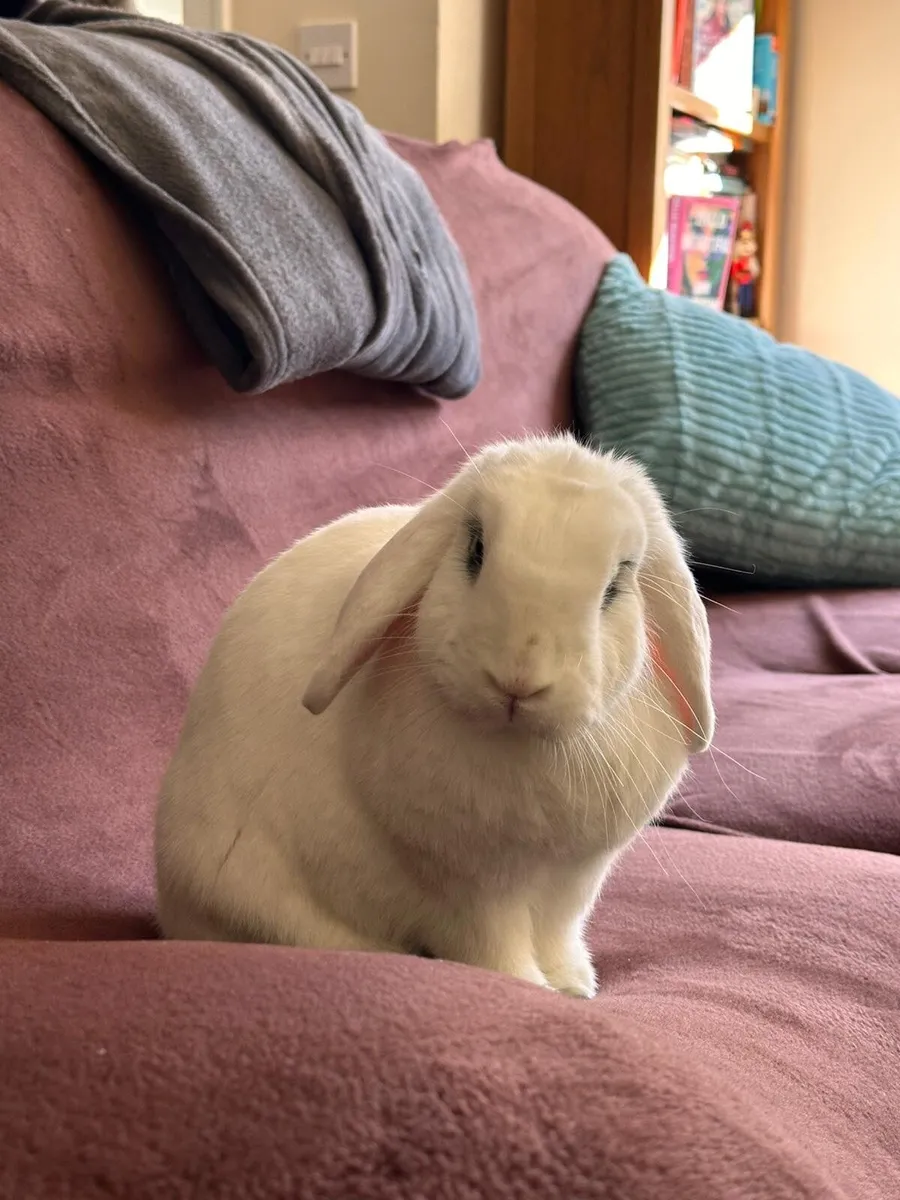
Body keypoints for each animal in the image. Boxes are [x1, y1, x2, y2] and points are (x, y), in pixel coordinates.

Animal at [155, 433, 713, 998]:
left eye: (616, 587)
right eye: (476, 551)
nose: (517, 680)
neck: (516, 743)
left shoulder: (575, 878)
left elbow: (557, 933)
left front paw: (574, 985)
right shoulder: (466, 884)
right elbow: (492, 942)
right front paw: (528, 986)